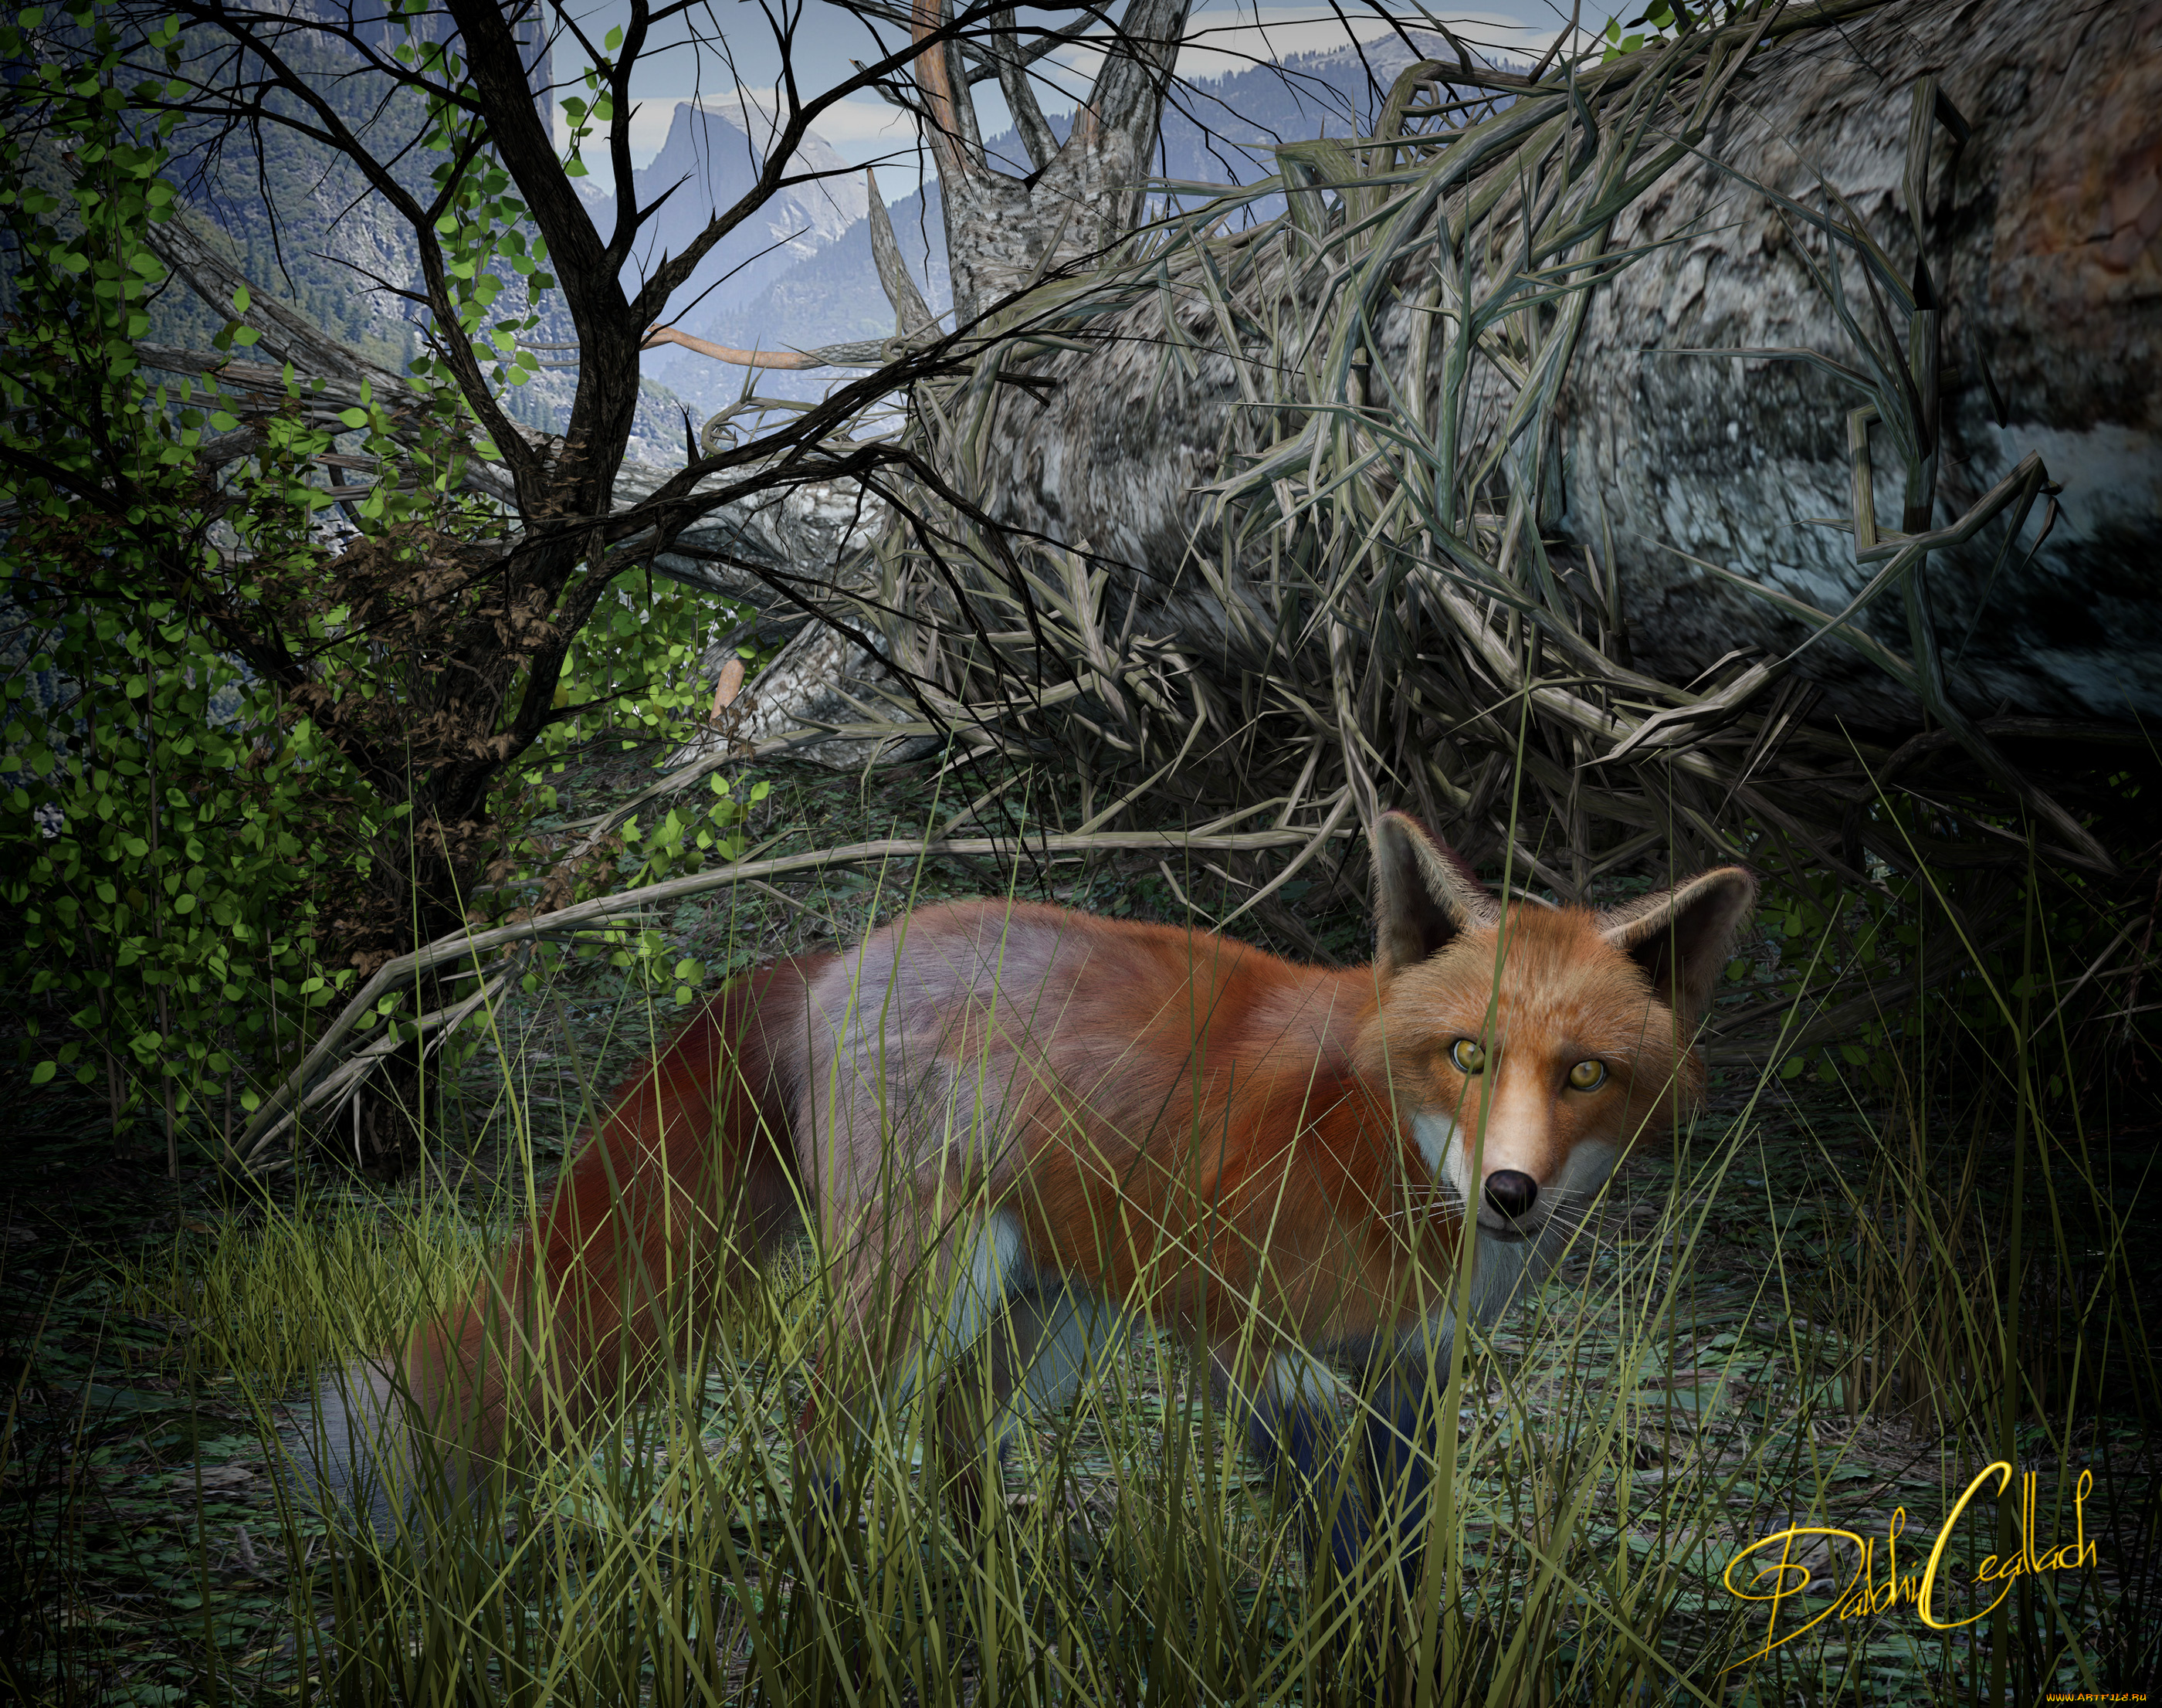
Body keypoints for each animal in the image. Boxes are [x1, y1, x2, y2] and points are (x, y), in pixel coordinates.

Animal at [306, 811, 1753, 1582]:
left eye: (1585, 1073)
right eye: (1464, 1054)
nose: (1508, 1193)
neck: (1373, 1148)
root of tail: (842, 957)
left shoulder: (1408, 1371)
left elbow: (1396, 1545)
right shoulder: (1249, 1350)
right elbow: (1334, 1534)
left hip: (1040, 1312)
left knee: (954, 1434)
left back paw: (993, 1589)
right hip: (919, 1286)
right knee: (824, 1419)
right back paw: (842, 1603)